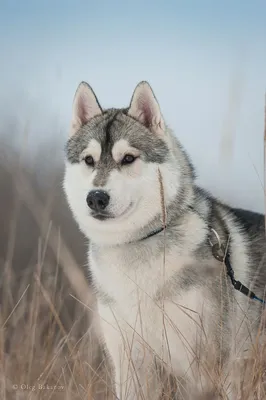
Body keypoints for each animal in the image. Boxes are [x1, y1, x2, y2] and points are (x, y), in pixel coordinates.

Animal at [63, 79, 264, 398]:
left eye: (128, 158)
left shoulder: (206, 367)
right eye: (89, 160)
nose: (96, 197)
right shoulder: (128, 360)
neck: (134, 248)